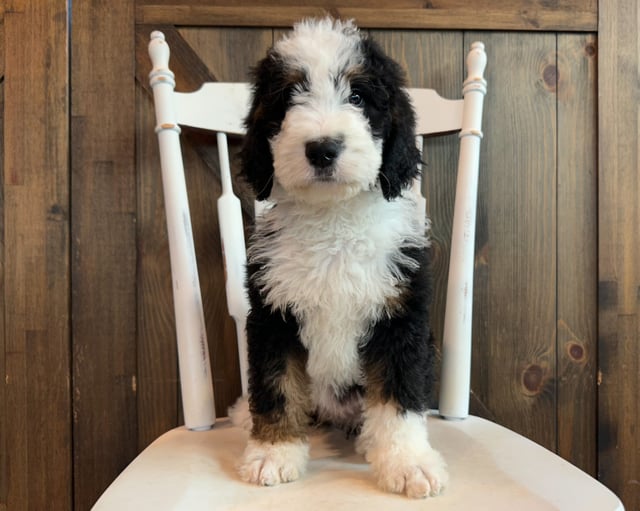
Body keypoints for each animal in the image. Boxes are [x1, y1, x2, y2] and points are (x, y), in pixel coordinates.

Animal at [238, 18, 448, 498]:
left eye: (357, 97)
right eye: (290, 97)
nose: (322, 148)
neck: (333, 218)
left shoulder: (399, 315)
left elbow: (399, 392)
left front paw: (407, 462)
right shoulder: (272, 314)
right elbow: (277, 386)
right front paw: (273, 452)